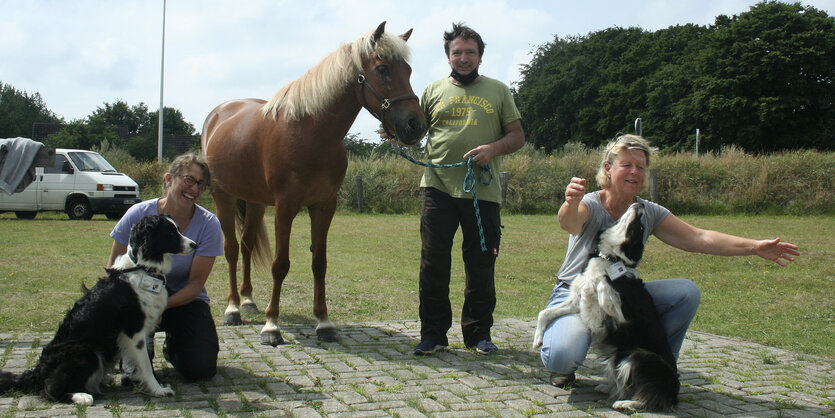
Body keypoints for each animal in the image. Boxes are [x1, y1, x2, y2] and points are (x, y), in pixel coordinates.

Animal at [201, 22, 424, 346]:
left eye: (407, 69)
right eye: (382, 68)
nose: (416, 125)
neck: (309, 133)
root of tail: (217, 116)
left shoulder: (324, 206)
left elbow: (320, 262)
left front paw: (324, 322)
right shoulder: (285, 207)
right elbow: (280, 264)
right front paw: (272, 325)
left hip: (254, 202)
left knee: (245, 245)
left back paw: (248, 300)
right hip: (224, 198)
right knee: (230, 249)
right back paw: (233, 308)